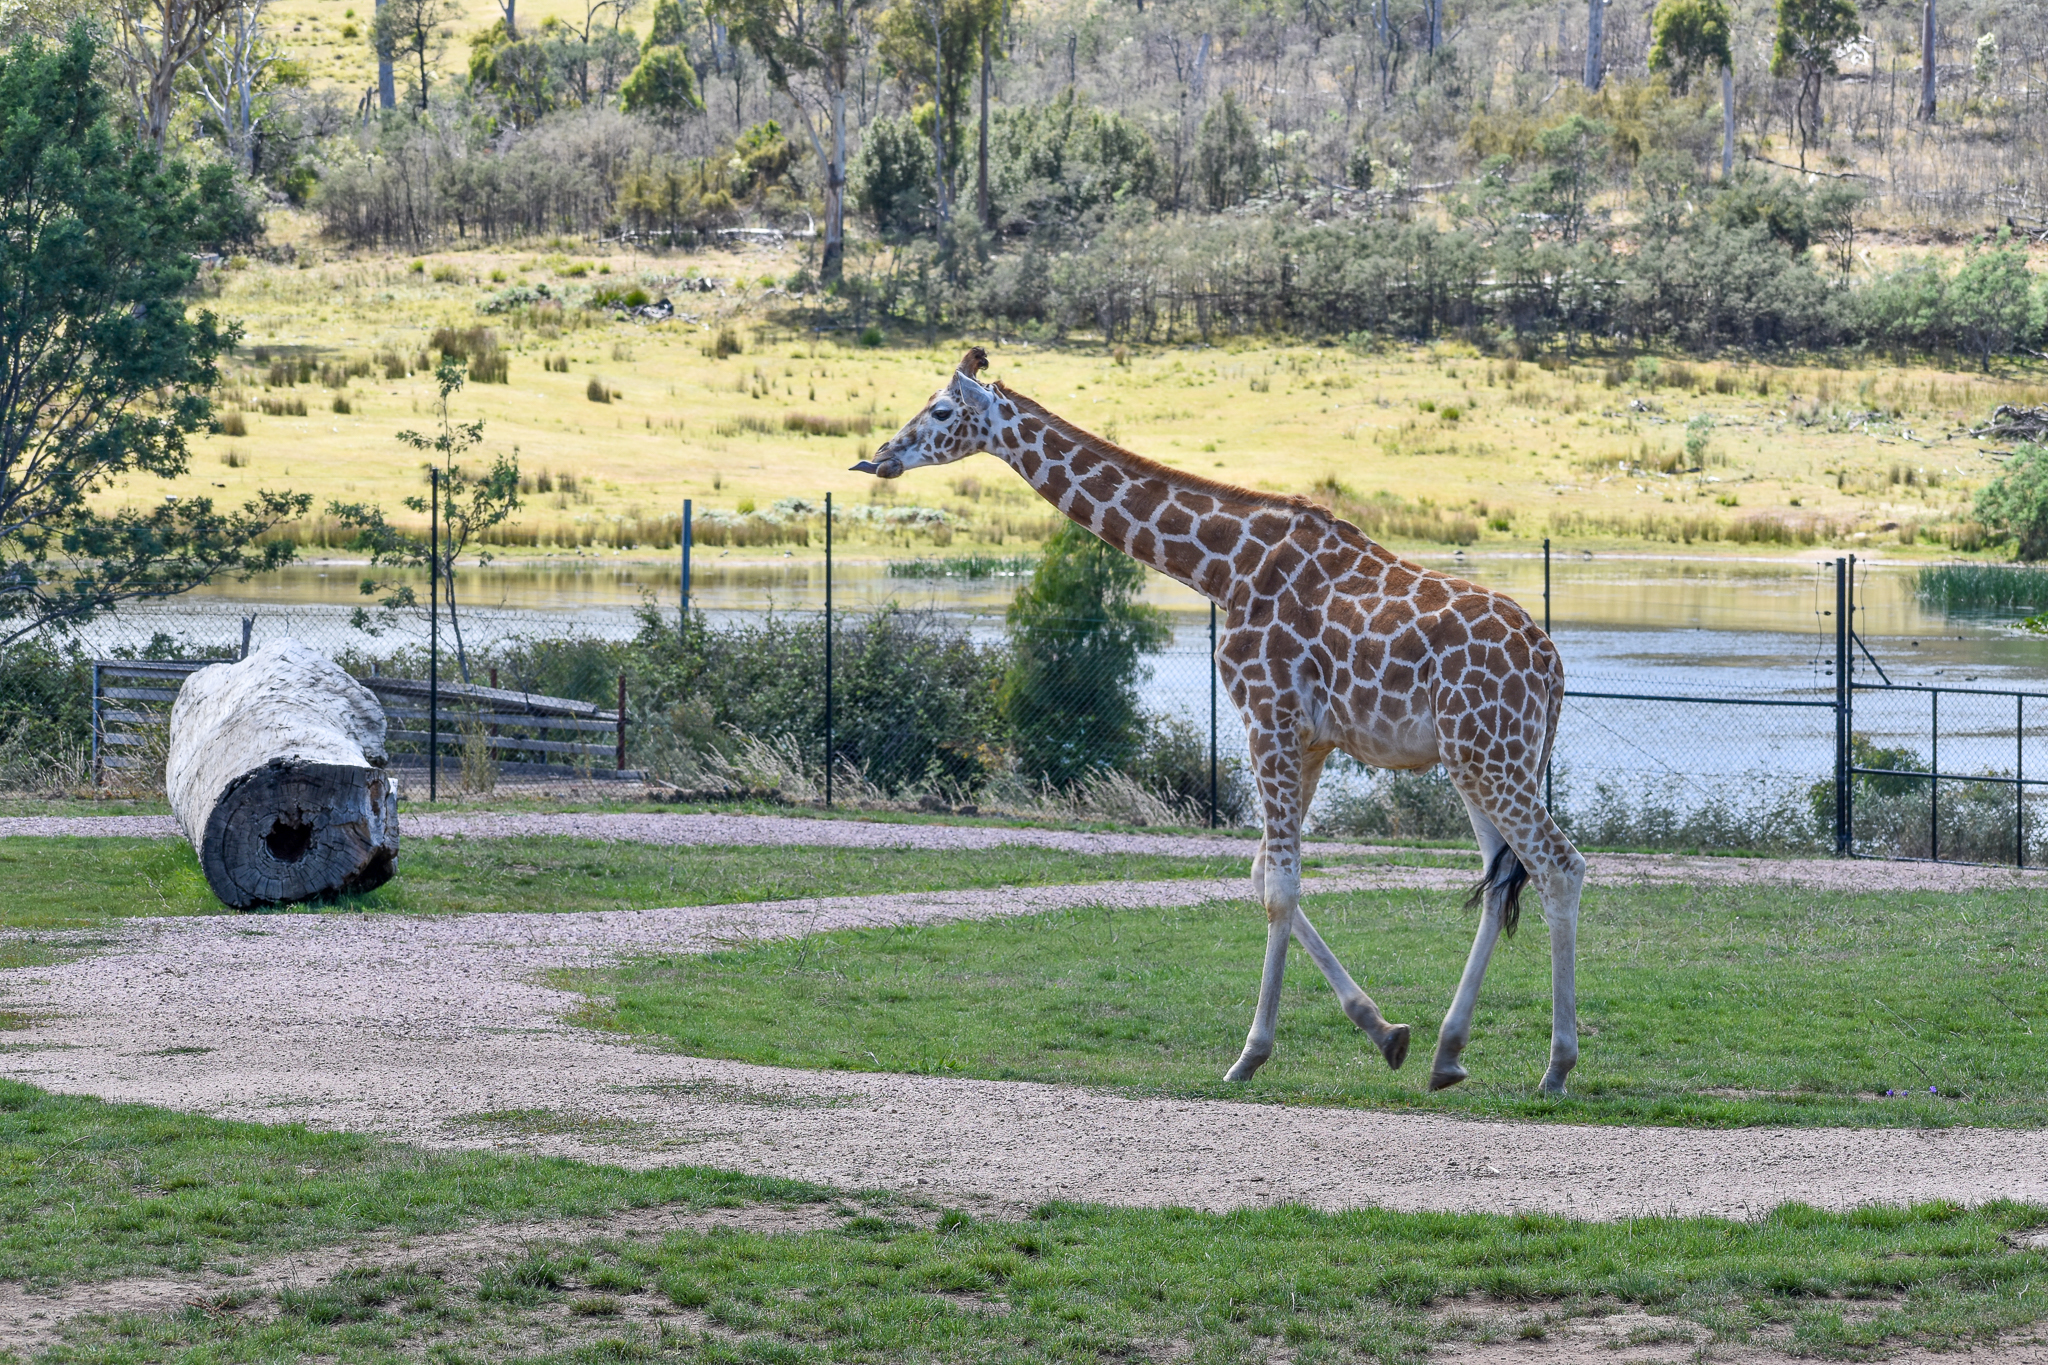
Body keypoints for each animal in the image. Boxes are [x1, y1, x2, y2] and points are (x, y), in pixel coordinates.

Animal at [854, 348, 1584, 1095]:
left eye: (942, 410)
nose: (879, 457)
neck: (1221, 567)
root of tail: (1550, 663)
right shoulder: (1310, 738)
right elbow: (1262, 874)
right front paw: (1385, 1031)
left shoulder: (1267, 713)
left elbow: (1280, 887)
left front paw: (1251, 1054)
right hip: (1480, 758)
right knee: (1502, 881)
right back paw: (1447, 1052)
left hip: (1490, 755)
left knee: (1560, 865)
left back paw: (1556, 1067)